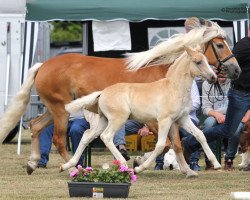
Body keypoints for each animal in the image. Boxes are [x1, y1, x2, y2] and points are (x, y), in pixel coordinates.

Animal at [62, 46, 221, 174]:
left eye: (206, 60)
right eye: (198, 61)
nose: (213, 77)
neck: (174, 88)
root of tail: (102, 92)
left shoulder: (181, 119)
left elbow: (199, 135)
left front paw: (216, 164)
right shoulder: (164, 120)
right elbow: (160, 145)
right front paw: (139, 167)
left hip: (103, 120)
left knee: (87, 136)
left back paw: (66, 166)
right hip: (117, 119)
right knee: (106, 136)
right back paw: (124, 163)